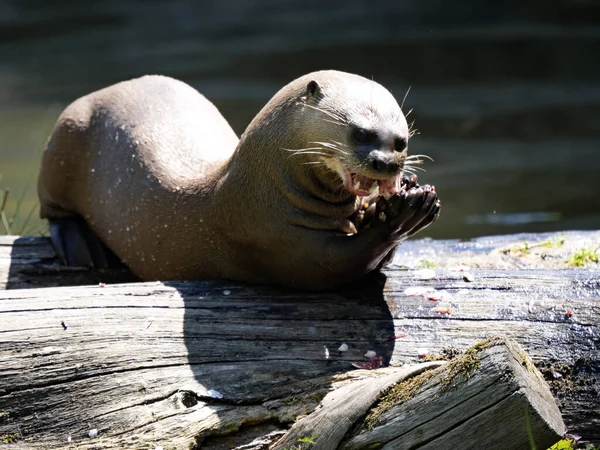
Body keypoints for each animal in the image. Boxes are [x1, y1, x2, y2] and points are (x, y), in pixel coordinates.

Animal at [38, 70, 440, 288]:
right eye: (360, 133)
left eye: (401, 141)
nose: (387, 164)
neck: (269, 185)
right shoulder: (276, 239)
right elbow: (344, 264)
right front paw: (408, 212)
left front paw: (400, 198)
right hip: (67, 135)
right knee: (52, 208)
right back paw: (80, 244)